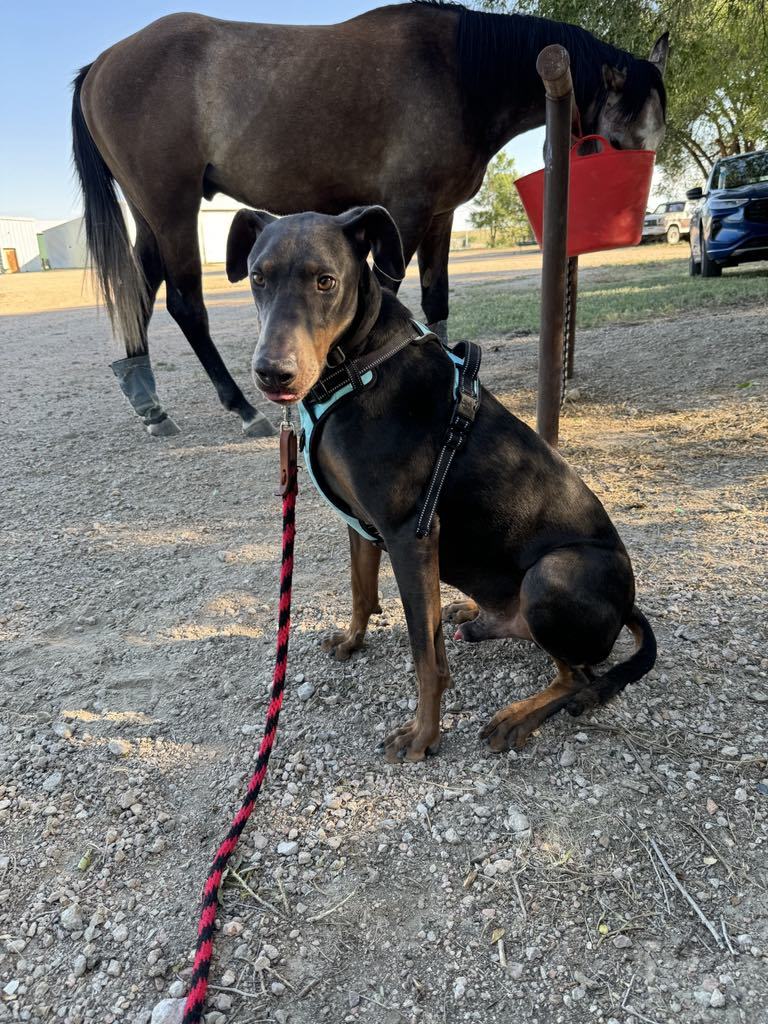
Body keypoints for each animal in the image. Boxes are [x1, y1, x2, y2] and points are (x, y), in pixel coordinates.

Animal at [72, 0, 667, 434]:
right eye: (618, 142)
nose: (632, 211)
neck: (456, 74)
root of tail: (99, 64)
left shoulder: (440, 215)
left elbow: (436, 299)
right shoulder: (405, 211)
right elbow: (388, 293)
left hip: (149, 212)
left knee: (139, 293)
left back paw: (148, 403)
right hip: (172, 206)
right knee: (185, 304)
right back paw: (241, 408)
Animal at [227, 205, 655, 761]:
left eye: (326, 281)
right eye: (258, 278)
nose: (272, 374)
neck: (358, 363)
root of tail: (628, 603)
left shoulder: (412, 534)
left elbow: (425, 656)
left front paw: (424, 735)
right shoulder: (363, 524)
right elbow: (361, 589)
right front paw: (352, 641)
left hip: (554, 574)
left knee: (577, 676)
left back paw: (518, 716)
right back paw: (474, 614)